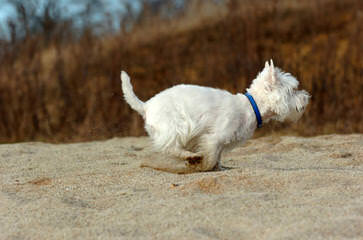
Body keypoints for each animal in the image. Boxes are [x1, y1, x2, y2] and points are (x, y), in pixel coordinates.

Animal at [121, 60, 310, 172]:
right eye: (292, 90)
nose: (307, 97)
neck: (251, 107)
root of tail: (146, 105)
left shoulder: (221, 141)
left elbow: (218, 156)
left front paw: (221, 168)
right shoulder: (215, 137)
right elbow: (212, 155)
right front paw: (206, 166)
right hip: (174, 128)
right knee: (170, 147)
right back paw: (191, 156)